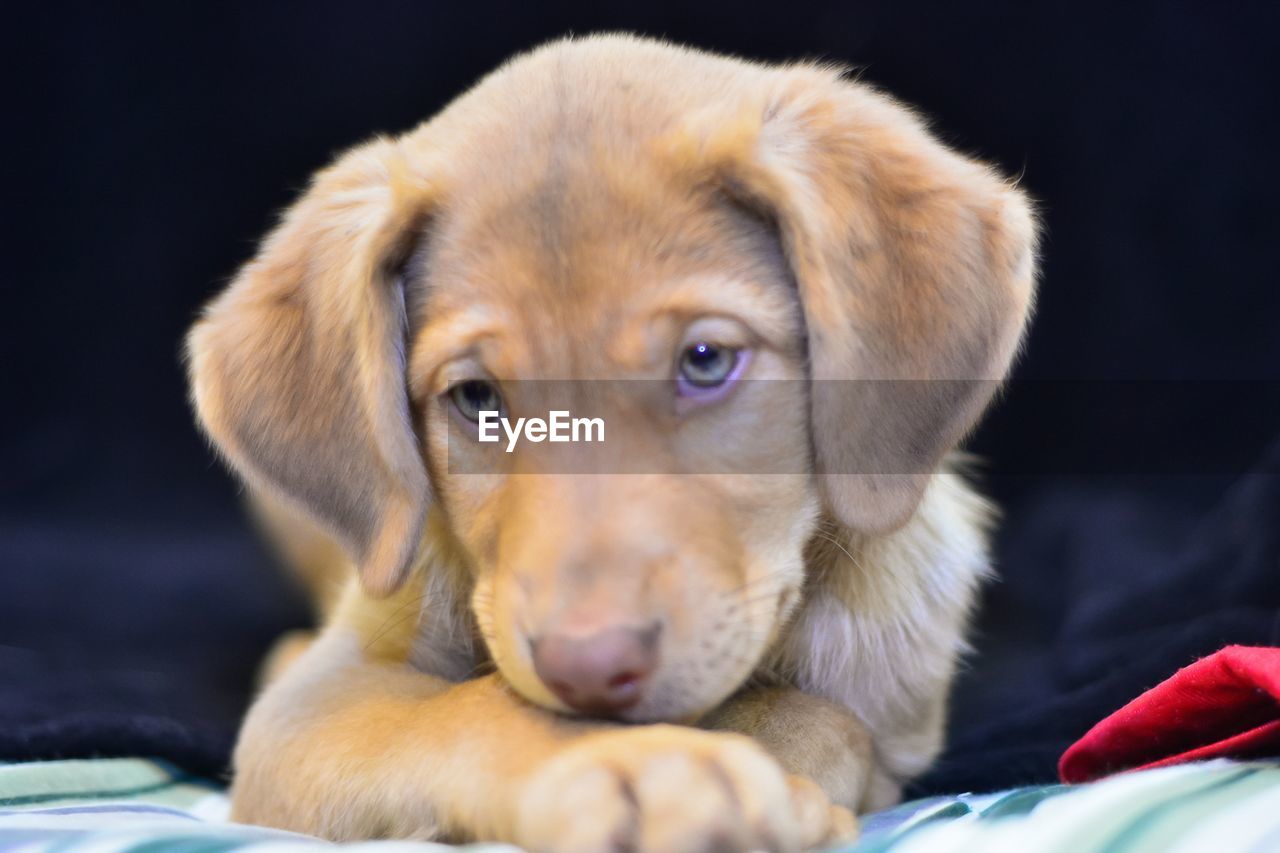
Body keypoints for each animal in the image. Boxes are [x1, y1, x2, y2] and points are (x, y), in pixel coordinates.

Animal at [185, 34, 1034, 850]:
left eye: (705, 360)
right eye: (476, 398)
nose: (590, 667)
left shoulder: (896, 707)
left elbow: (824, 714)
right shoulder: (310, 706)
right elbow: (475, 707)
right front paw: (639, 768)